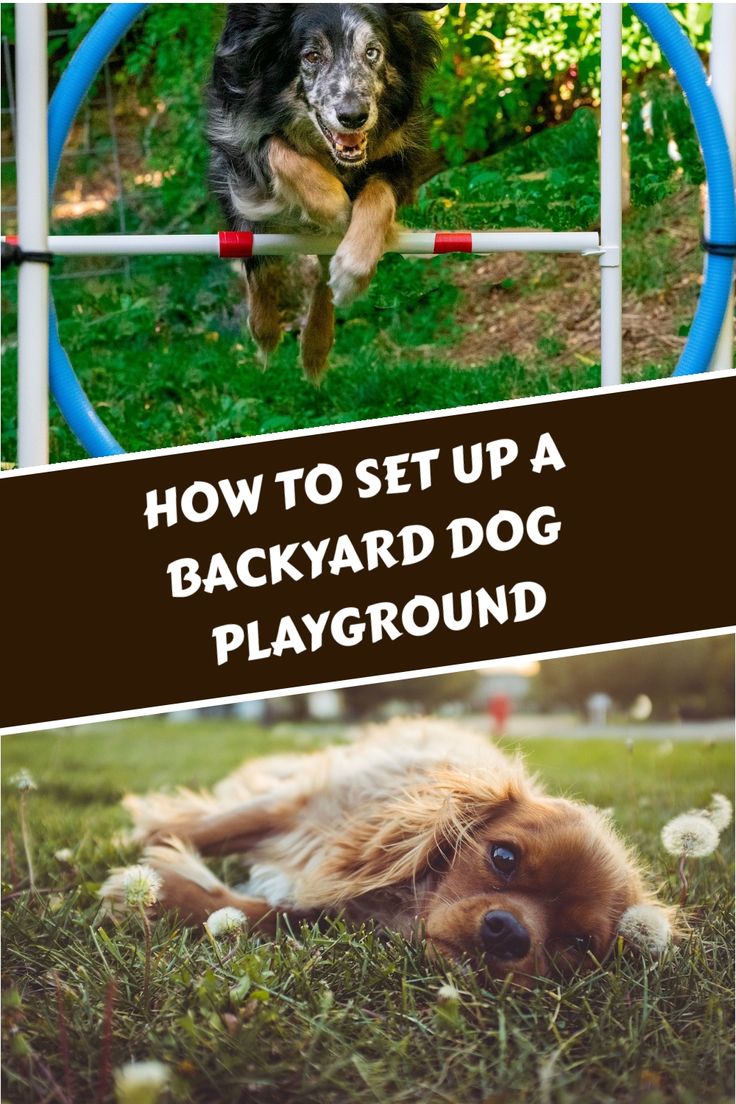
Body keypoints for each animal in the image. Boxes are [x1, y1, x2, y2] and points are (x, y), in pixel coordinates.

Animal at [102, 719, 675, 980]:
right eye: (504, 858)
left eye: (577, 944)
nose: (509, 933)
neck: (405, 894)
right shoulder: (298, 807)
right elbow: (210, 827)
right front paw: (145, 859)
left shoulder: (327, 907)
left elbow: (263, 914)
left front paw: (163, 895)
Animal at [204, 4, 441, 381]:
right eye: (312, 56)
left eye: (372, 52)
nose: (353, 116)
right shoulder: (237, 138)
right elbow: (276, 149)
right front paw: (333, 205)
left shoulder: (401, 154)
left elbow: (378, 197)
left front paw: (353, 270)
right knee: (255, 258)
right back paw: (265, 328)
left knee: (321, 271)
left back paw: (316, 341)